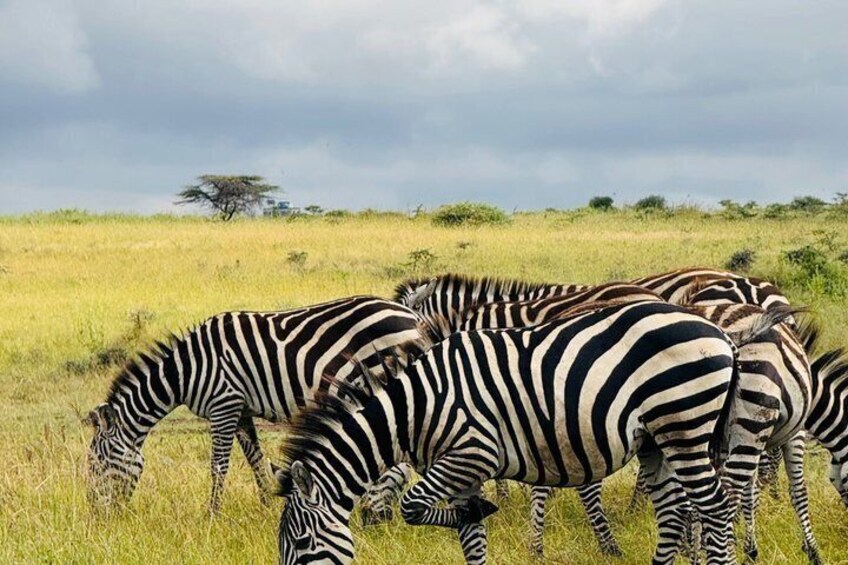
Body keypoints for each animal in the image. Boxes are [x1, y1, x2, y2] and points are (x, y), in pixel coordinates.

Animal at [84, 295, 430, 513]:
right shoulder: (241, 410)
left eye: (97, 463)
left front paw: (212, 515)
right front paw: (266, 505)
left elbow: (218, 466)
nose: (96, 515)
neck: (185, 372)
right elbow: (256, 460)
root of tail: (411, 315)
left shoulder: (223, 404)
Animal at [275, 299, 765, 565]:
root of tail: (720, 331)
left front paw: (483, 508)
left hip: (683, 423)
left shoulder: (471, 453)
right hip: (655, 441)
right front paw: (475, 513)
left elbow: (413, 506)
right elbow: (469, 539)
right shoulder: (463, 473)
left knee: (715, 507)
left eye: (301, 544)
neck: (415, 407)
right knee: (673, 512)